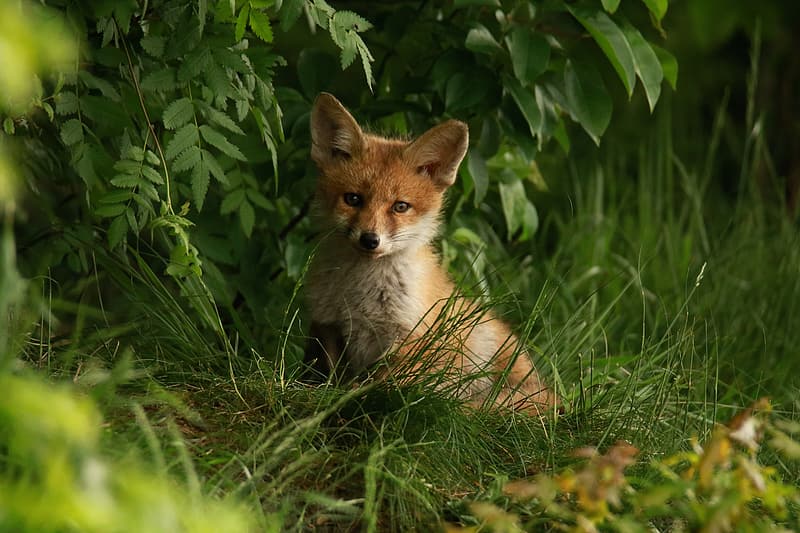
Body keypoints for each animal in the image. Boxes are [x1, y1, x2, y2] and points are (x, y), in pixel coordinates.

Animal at [302, 93, 556, 414]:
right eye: (353, 199)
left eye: (400, 206)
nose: (370, 239)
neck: (360, 295)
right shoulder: (328, 325)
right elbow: (328, 374)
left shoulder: (411, 338)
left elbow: (380, 384)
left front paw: (354, 397)